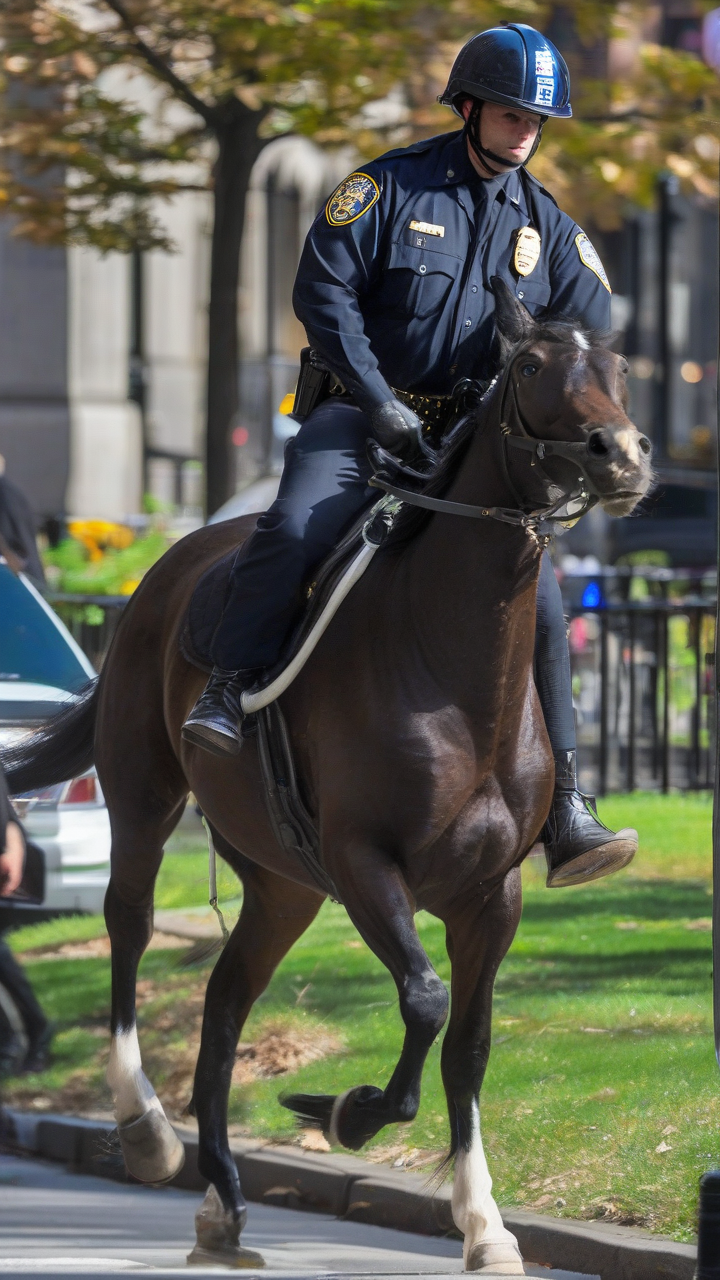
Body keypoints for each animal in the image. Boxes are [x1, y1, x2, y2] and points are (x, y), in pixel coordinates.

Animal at [2, 282, 652, 1274]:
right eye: (534, 365)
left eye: (616, 367)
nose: (621, 454)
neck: (451, 665)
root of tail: (170, 565)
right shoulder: (363, 865)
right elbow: (424, 1002)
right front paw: (347, 1113)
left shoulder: (491, 897)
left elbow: (467, 1045)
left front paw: (484, 1223)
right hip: (146, 801)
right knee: (129, 928)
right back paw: (147, 1130)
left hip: (281, 888)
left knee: (224, 1004)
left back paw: (224, 1205)